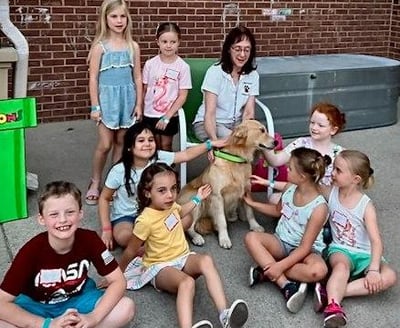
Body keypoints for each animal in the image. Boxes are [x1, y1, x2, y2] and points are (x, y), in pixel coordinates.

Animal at [178, 120, 276, 249]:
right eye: (262, 130)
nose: (276, 142)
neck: (237, 159)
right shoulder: (217, 196)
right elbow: (222, 221)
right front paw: (224, 239)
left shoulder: (246, 191)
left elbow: (250, 212)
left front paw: (254, 226)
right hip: (197, 198)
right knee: (189, 227)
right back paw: (197, 237)